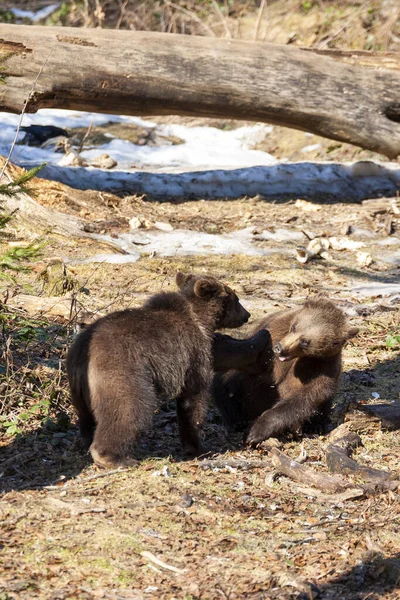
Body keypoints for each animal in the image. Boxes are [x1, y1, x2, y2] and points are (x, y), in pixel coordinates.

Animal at [68, 274, 250, 468]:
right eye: (234, 297)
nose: (247, 315)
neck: (200, 320)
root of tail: (81, 351)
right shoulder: (194, 354)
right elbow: (193, 398)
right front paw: (199, 448)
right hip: (121, 370)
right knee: (129, 409)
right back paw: (115, 458)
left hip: (79, 389)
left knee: (86, 417)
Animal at [214, 298, 358, 446]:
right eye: (294, 327)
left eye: (305, 341)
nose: (280, 348)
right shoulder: (272, 336)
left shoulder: (323, 367)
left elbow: (306, 397)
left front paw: (256, 431)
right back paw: (237, 418)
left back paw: (313, 426)